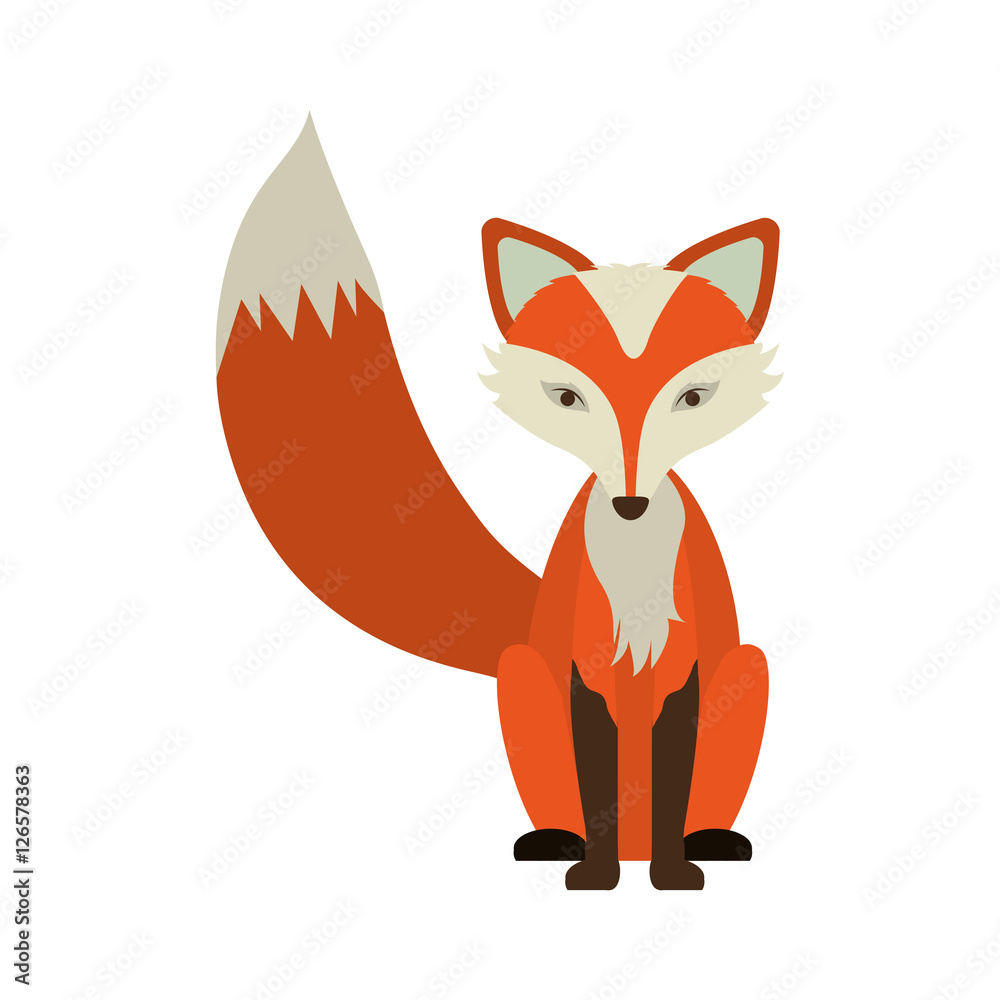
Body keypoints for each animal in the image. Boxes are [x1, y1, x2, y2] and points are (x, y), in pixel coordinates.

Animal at [216, 115, 780, 891]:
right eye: (567, 398)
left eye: (693, 399)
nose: (631, 503)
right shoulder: (581, 674)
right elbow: (598, 785)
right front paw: (596, 877)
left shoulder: (686, 675)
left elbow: (670, 779)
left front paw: (672, 875)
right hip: (521, 676)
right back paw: (558, 843)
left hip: (749, 669)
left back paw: (710, 841)